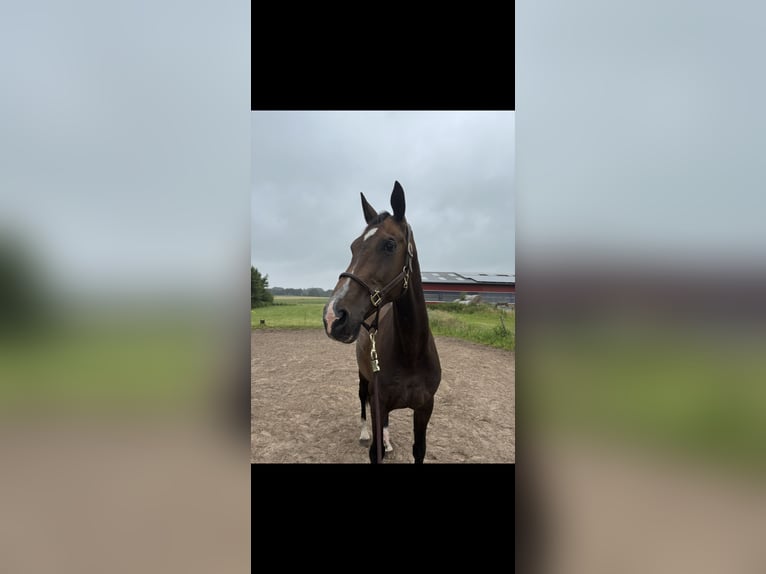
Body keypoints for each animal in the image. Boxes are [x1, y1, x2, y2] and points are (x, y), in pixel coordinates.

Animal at [322, 181, 441, 463]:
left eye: (389, 245)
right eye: (353, 247)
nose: (333, 316)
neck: (411, 353)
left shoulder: (425, 407)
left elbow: (419, 450)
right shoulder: (379, 401)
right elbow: (374, 450)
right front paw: (374, 440)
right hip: (364, 379)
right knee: (362, 400)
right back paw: (365, 433)